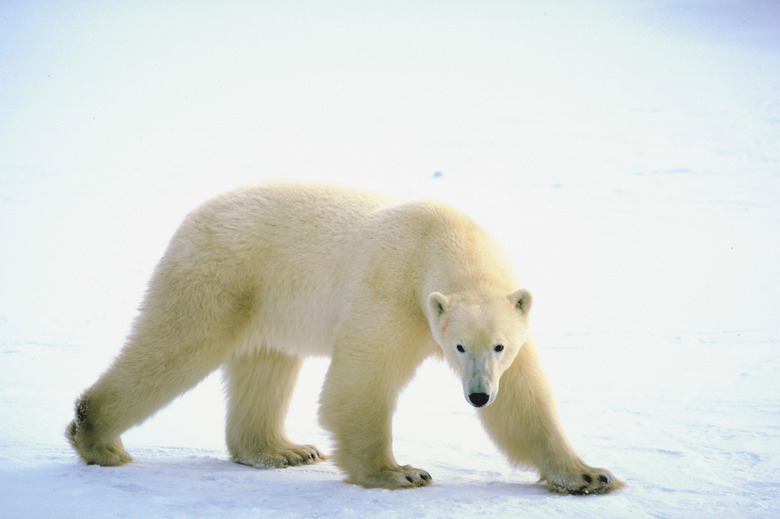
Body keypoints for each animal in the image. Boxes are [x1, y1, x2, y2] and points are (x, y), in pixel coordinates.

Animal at [68, 183, 620, 496]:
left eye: (499, 347)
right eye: (459, 347)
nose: (479, 395)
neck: (441, 239)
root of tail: (193, 215)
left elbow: (525, 401)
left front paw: (590, 477)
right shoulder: (392, 289)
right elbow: (363, 379)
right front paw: (400, 473)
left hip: (267, 302)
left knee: (266, 367)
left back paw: (283, 450)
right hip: (221, 276)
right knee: (175, 345)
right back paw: (99, 439)